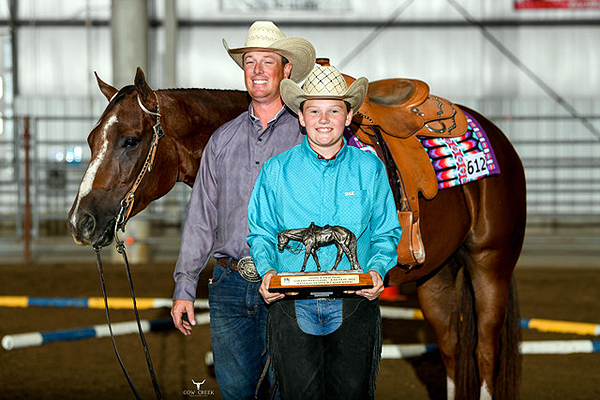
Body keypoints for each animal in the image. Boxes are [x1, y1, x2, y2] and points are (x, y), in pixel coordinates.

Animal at [67, 67, 524, 398]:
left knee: (484, 351)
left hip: (490, 265)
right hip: (437, 278)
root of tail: (496, 135)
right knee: (452, 351)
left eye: (130, 140)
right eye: (90, 140)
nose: (80, 222)